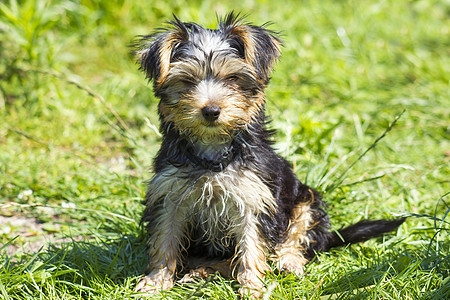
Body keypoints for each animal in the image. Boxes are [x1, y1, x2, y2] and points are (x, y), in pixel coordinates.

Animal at [133, 12, 404, 296]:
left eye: (232, 79)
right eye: (187, 81)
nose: (211, 111)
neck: (213, 148)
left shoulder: (254, 199)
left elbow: (252, 244)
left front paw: (253, 288)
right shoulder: (169, 195)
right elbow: (165, 238)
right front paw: (155, 282)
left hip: (306, 198)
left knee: (300, 234)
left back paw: (288, 261)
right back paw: (199, 272)